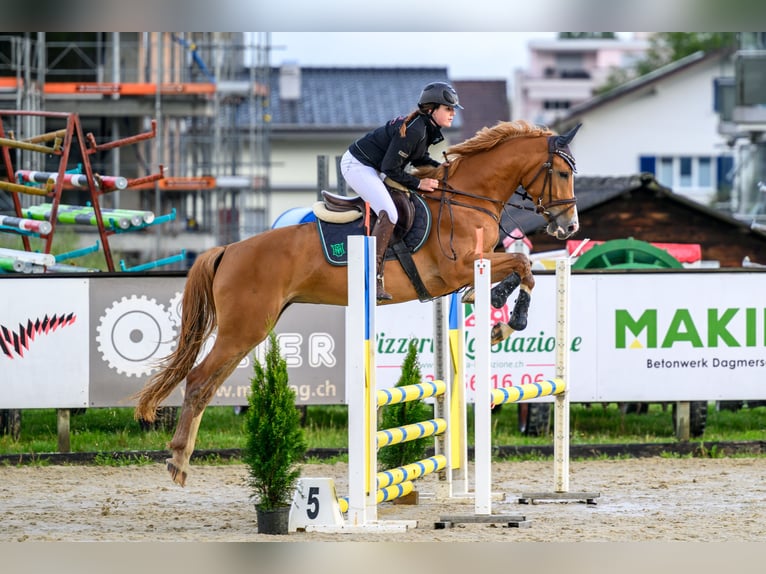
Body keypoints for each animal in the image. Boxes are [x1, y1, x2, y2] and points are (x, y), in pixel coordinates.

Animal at [134, 120, 584, 486]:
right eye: (562, 173)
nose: (569, 227)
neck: (465, 198)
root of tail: (228, 249)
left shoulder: (472, 266)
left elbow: (522, 268)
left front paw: (496, 310)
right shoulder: (457, 267)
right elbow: (521, 264)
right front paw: (506, 314)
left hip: (248, 330)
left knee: (207, 386)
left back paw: (182, 459)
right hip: (243, 328)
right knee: (197, 380)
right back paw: (178, 461)